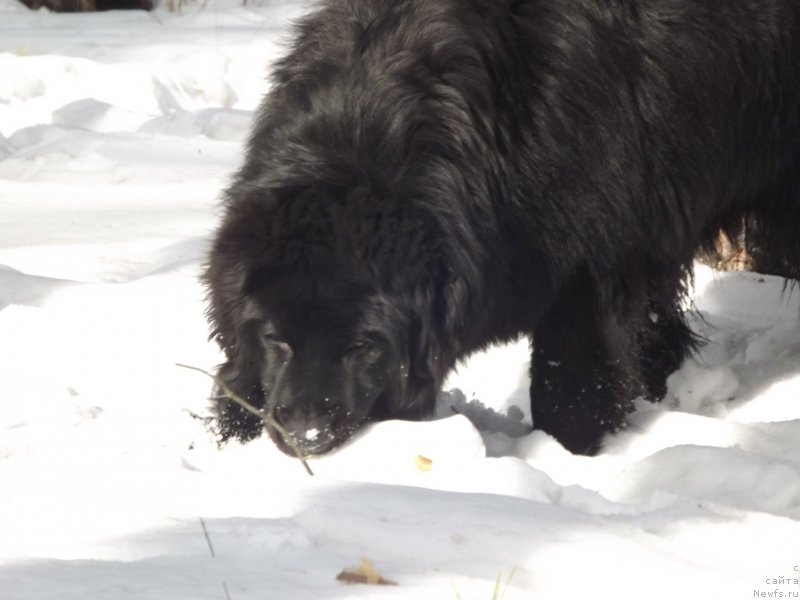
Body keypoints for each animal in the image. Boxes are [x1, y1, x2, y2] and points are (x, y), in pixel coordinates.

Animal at [206, 0, 800, 454]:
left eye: (363, 347)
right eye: (276, 340)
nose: (305, 433)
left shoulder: (592, 266)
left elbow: (572, 379)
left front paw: (570, 453)